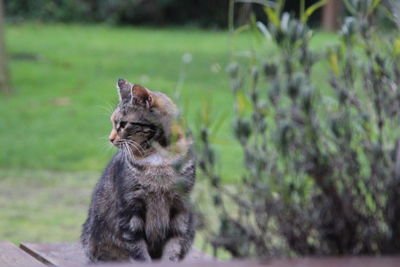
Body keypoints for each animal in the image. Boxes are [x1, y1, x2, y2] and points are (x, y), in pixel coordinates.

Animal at [80, 78, 195, 262]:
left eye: (123, 124)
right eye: (113, 122)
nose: (110, 138)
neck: (159, 158)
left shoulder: (180, 207)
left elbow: (173, 247)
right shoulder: (130, 210)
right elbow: (138, 251)